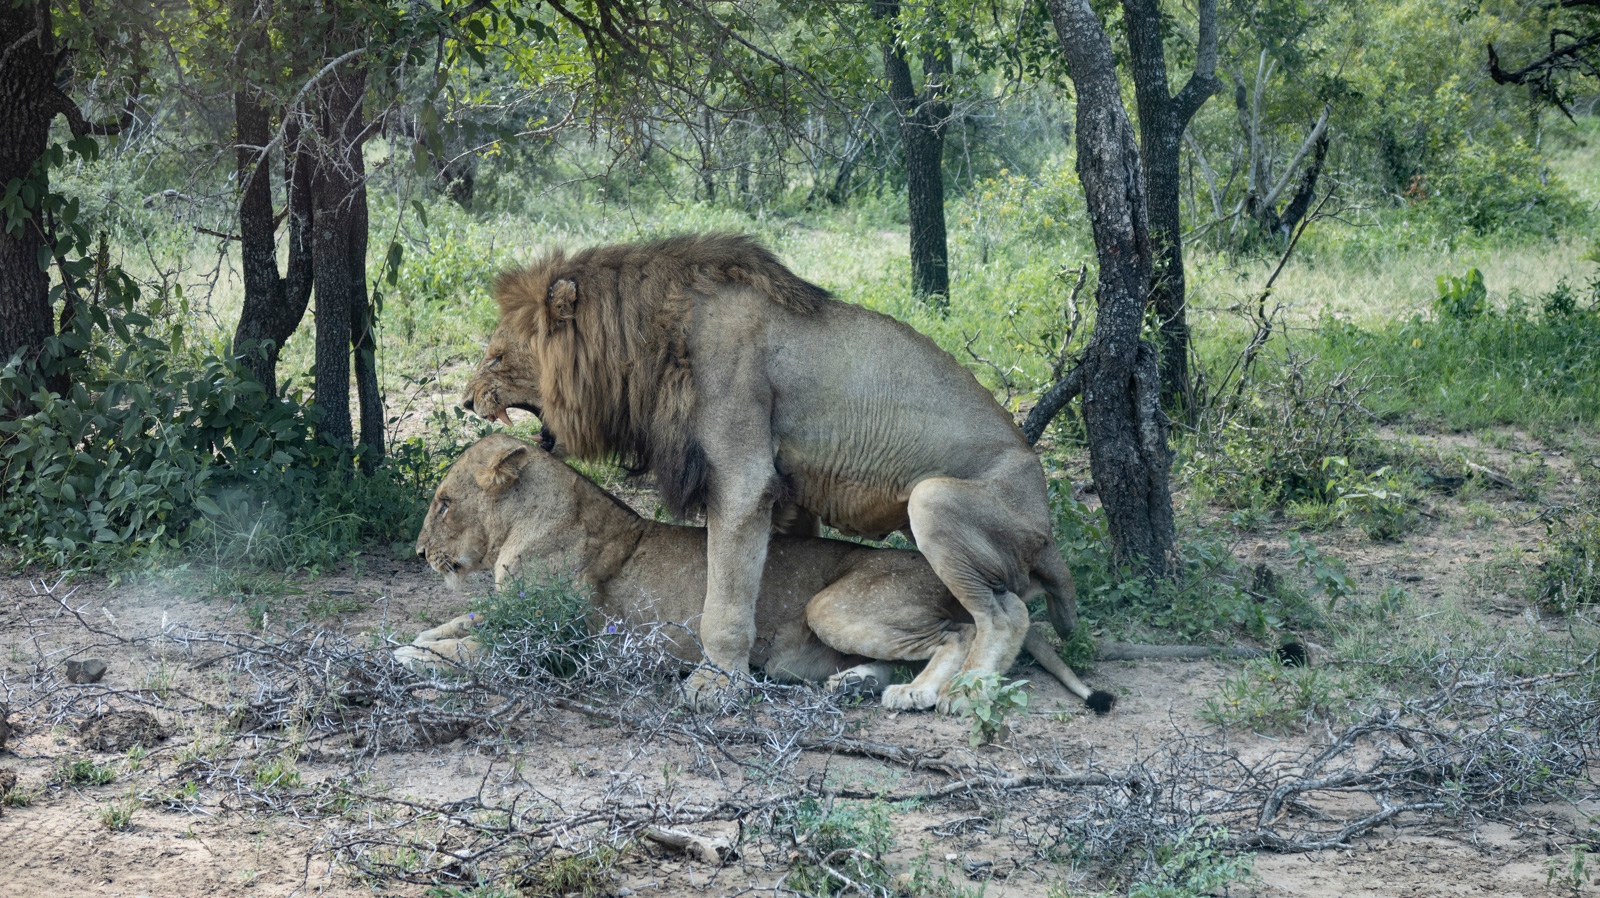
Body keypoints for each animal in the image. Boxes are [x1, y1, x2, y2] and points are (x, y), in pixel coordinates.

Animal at [408, 434, 1113, 713]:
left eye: (442, 502)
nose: (417, 554)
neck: (520, 530)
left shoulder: (552, 646)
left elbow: (461, 649)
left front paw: (411, 656)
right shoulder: (502, 612)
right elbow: (453, 622)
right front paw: (420, 638)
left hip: (836, 606)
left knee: (963, 631)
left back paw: (919, 695)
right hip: (802, 650)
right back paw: (853, 685)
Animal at [473, 234, 1079, 712]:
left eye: (498, 356)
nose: (465, 401)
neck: (648, 341)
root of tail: (1049, 527)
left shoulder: (742, 475)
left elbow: (724, 597)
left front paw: (717, 683)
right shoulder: (785, 489)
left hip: (932, 499)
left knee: (1007, 614)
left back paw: (966, 693)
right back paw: (909, 689)